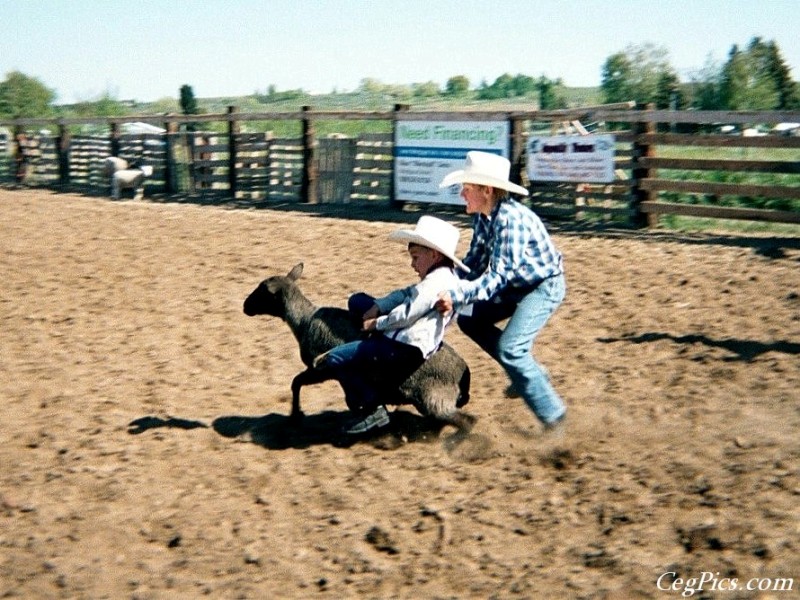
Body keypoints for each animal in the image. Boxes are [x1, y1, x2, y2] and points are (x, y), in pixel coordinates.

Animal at [241, 262, 472, 432]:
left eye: (262, 291)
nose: (244, 306)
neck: (303, 321)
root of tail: (464, 371)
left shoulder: (323, 369)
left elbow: (296, 382)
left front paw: (295, 416)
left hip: (434, 400)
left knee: (465, 421)